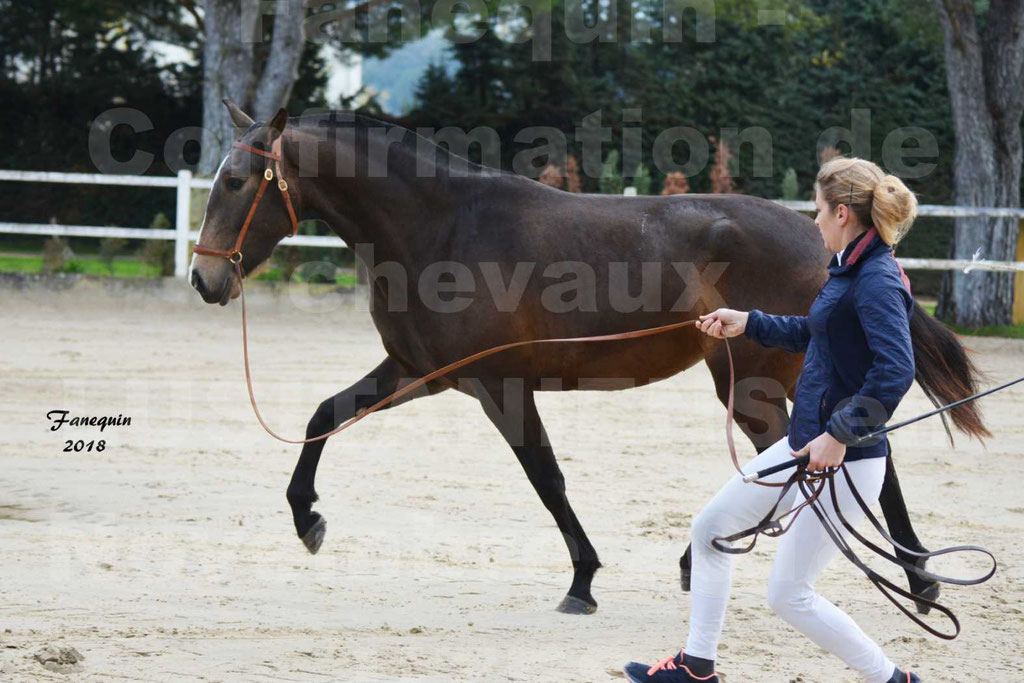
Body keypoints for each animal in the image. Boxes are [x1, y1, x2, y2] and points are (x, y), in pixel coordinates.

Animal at [186, 104, 983, 618]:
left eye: (235, 182)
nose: (204, 278)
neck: (439, 226)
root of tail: (825, 242)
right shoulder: (422, 372)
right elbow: (325, 414)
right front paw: (307, 519)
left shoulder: (499, 385)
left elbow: (546, 478)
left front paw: (583, 580)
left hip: (757, 381)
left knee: (817, 456)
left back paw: (908, 578)